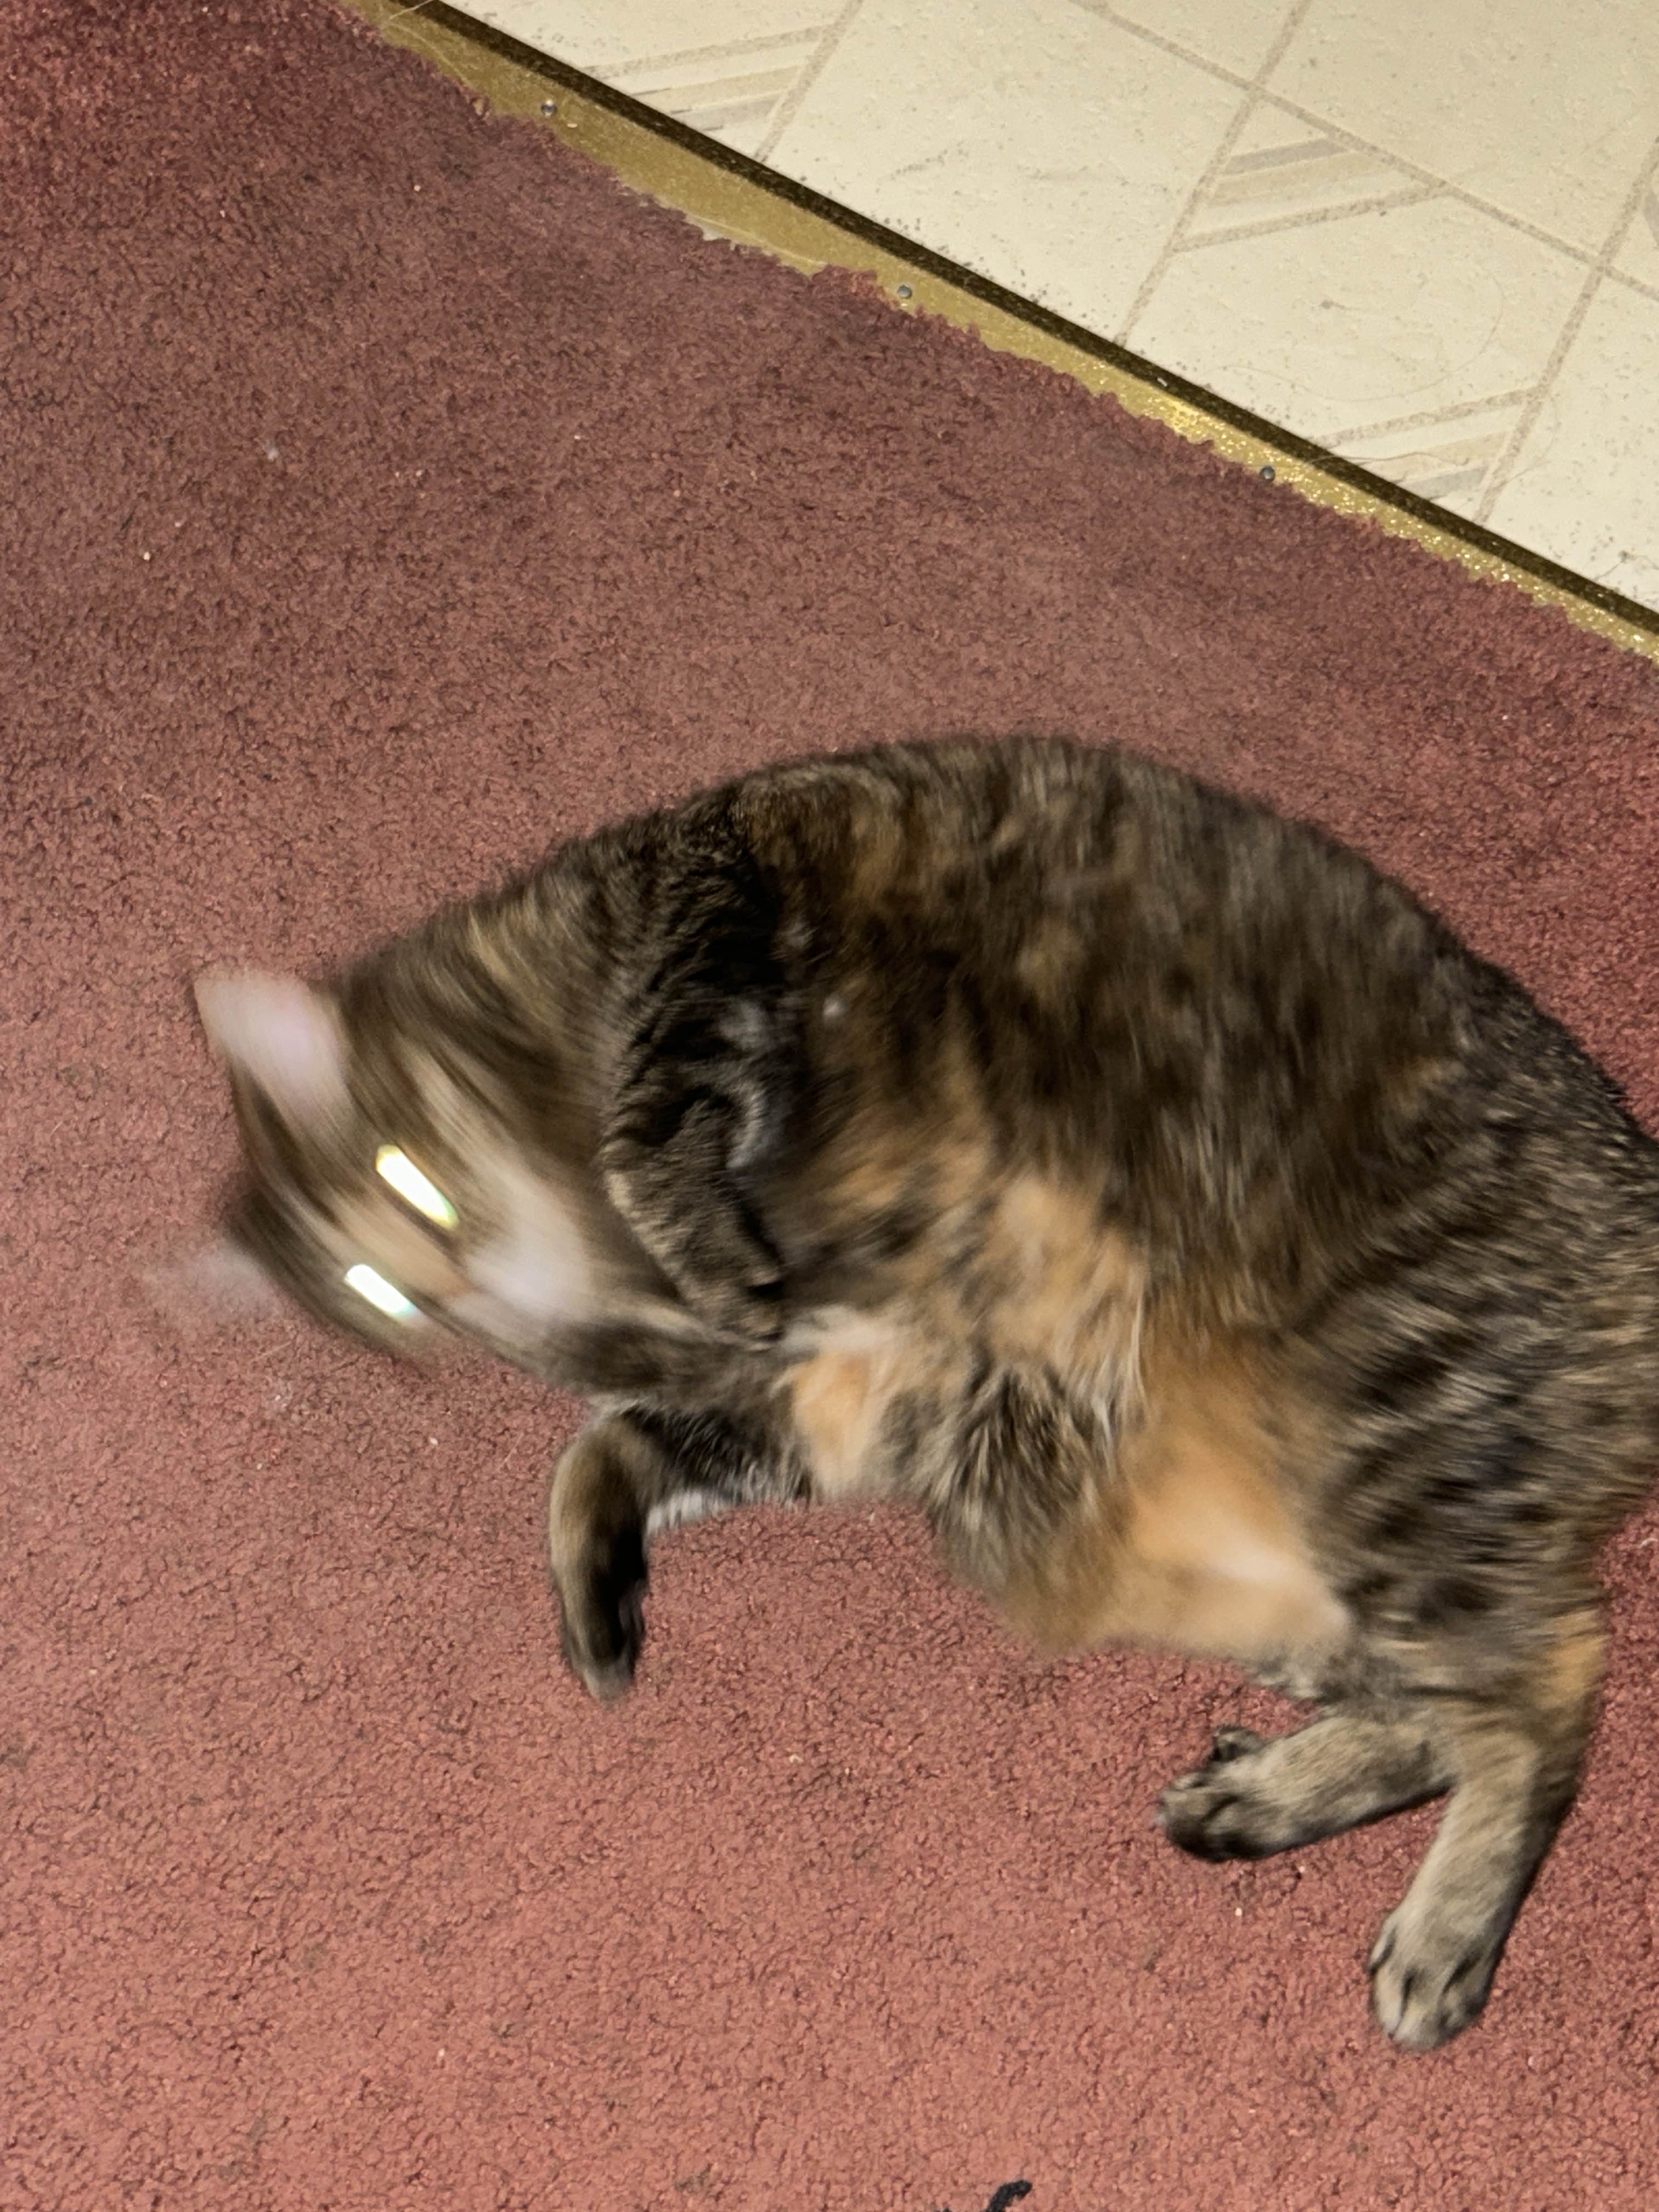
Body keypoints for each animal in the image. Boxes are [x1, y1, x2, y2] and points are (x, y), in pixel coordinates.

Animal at [188, 738, 1659, 2052]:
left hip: (1403, 1421)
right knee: (1446, 1701)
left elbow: (652, 1122)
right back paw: (1268, 1793)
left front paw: (699, 1245)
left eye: (409, 1186)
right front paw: (599, 1595)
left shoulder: (717, 892)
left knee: (1551, 1685)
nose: (449, 1288)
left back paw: (1443, 1928)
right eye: (381, 1301)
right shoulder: (860, 1397)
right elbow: (603, 1455)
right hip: (1235, 1553)